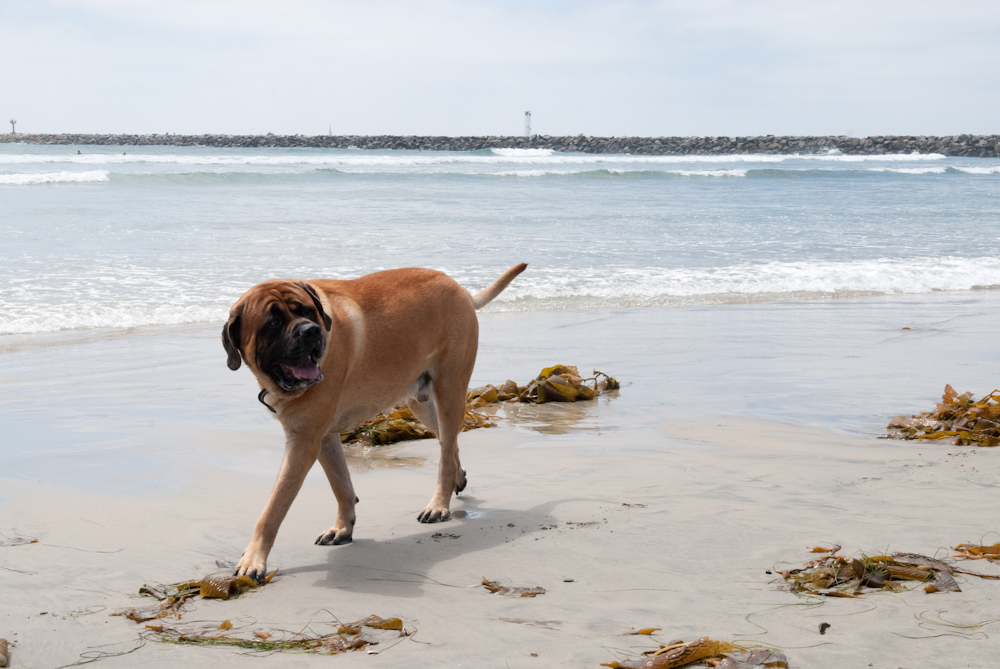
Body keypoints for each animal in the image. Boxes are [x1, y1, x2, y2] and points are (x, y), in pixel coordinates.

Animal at [223, 264, 528, 580]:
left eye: (307, 311)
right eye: (272, 322)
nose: (311, 331)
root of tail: (461, 289)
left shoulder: (303, 442)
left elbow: (273, 508)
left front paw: (254, 560)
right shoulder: (322, 437)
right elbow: (341, 485)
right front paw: (342, 528)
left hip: (450, 389)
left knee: (445, 452)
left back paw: (438, 505)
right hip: (420, 404)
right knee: (450, 441)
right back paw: (459, 477)